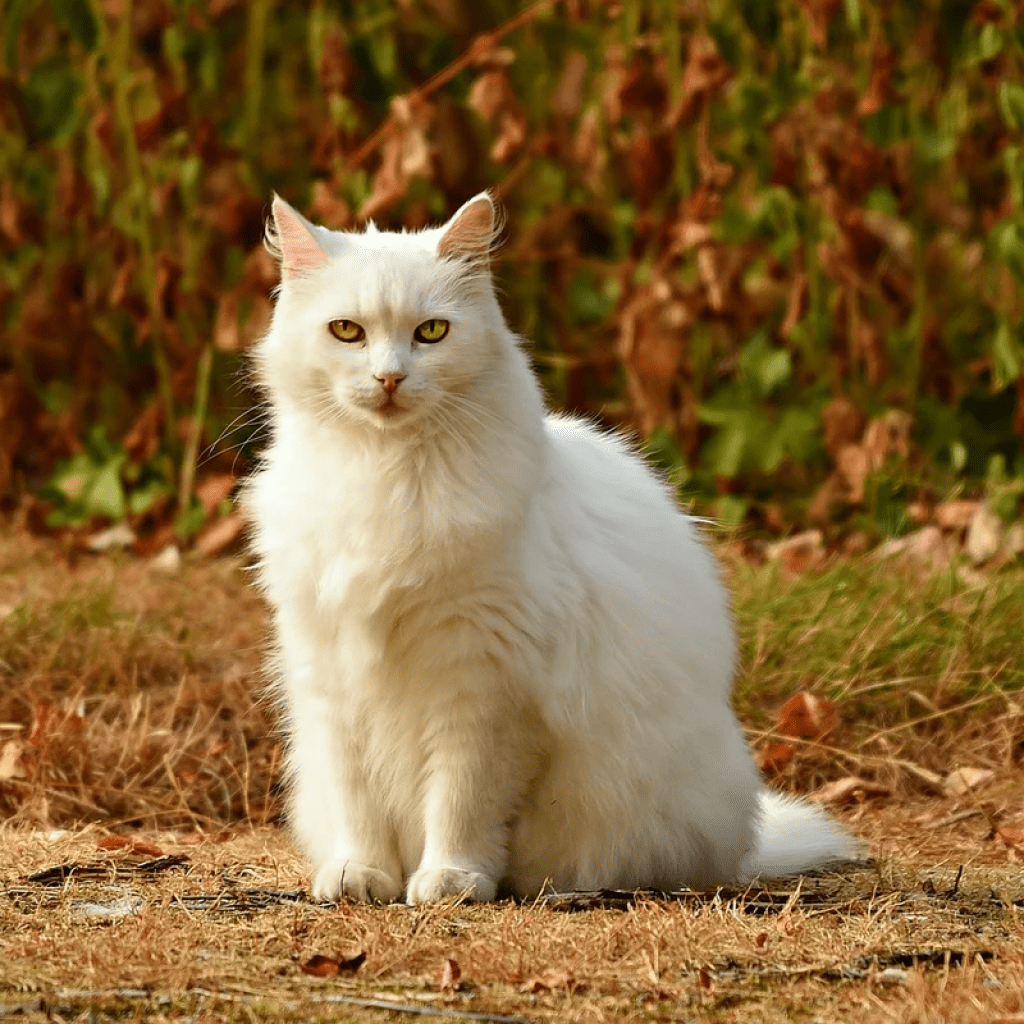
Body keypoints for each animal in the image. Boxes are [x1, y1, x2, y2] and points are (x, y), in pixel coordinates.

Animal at [241, 192, 856, 905]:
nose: (389, 378)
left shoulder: (484, 684)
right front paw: (360, 875)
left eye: (431, 333)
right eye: (347, 332)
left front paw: (451, 880)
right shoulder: (332, 671)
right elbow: (356, 800)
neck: (383, 476)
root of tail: (742, 841)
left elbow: (460, 799)